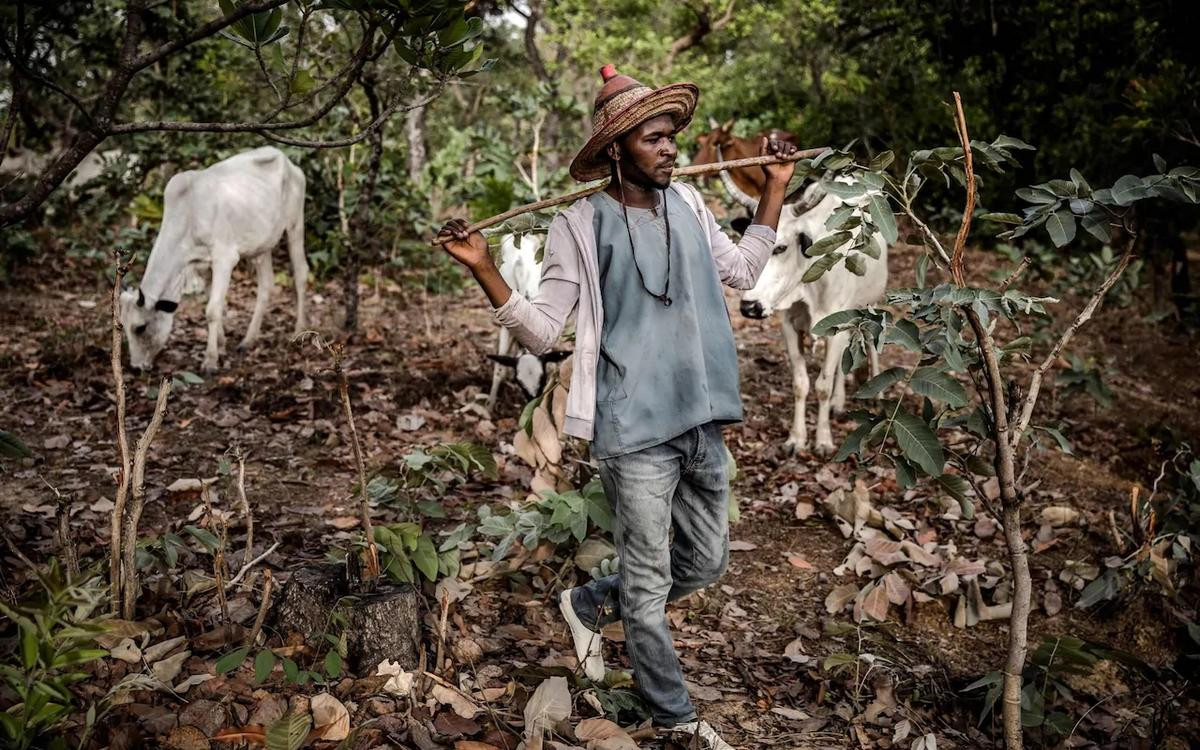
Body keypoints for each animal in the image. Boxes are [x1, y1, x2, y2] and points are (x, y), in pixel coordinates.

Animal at [120, 145, 307, 369]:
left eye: (140, 327)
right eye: (122, 326)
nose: (136, 367)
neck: (189, 213)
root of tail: (286, 160)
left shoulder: (225, 259)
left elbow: (212, 310)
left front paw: (210, 360)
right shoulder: (202, 264)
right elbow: (217, 306)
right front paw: (222, 344)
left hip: (295, 225)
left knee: (300, 274)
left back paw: (299, 330)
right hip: (262, 246)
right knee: (266, 286)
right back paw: (248, 340)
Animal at [482, 234, 571, 410]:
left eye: (542, 379)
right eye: (520, 383)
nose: (532, 403)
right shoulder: (506, 327)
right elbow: (499, 367)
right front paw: (489, 405)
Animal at [720, 172, 892, 453]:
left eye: (780, 248)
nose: (750, 307)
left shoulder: (837, 326)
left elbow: (823, 385)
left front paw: (823, 440)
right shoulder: (788, 325)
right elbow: (800, 383)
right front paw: (796, 438)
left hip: (870, 302)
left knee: (870, 340)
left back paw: (877, 394)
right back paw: (838, 403)